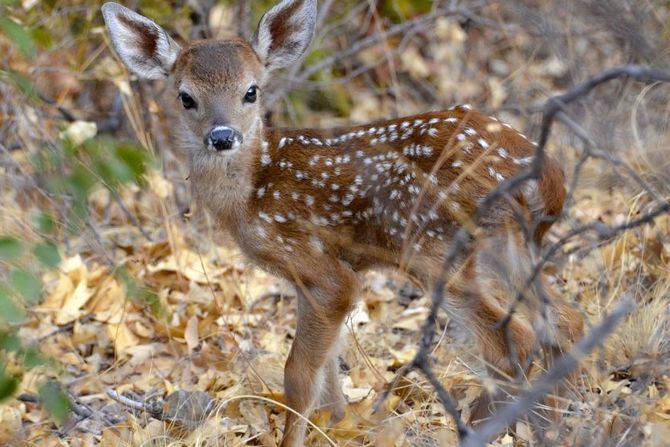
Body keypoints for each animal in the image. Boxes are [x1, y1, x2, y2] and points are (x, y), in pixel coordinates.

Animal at [102, 1, 584, 446]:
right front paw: (340, 426)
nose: (222, 137)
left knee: (512, 339)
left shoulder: (318, 265)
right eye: (186, 96)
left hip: (431, 244)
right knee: (563, 319)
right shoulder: (314, 278)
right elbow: (329, 371)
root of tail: (546, 173)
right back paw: (558, 417)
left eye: (251, 91)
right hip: (510, 244)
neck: (253, 190)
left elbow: (298, 374)